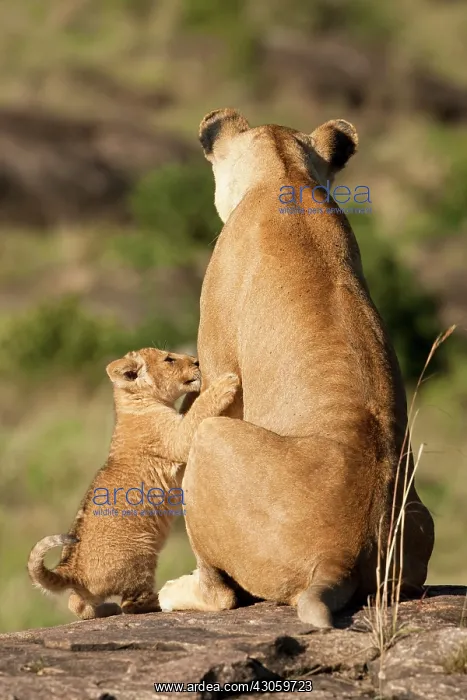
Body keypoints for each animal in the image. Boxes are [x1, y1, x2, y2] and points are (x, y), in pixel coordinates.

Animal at [28, 347, 239, 619]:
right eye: (169, 359)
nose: (197, 362)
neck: (133, 402)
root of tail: (71, 570)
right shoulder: (176, 439)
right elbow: (197, 413)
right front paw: (225, 383)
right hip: (141, 554)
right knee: (131, 604)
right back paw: (163, 598)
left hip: (92, 589)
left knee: (77, 605)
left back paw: (106, 608)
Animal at [158, 109, 435, 627]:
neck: (285, 172)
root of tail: (340, 554)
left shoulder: (218, 362)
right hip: (417, 524)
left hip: (214, 439)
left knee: (222, 594)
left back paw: (176, 592)